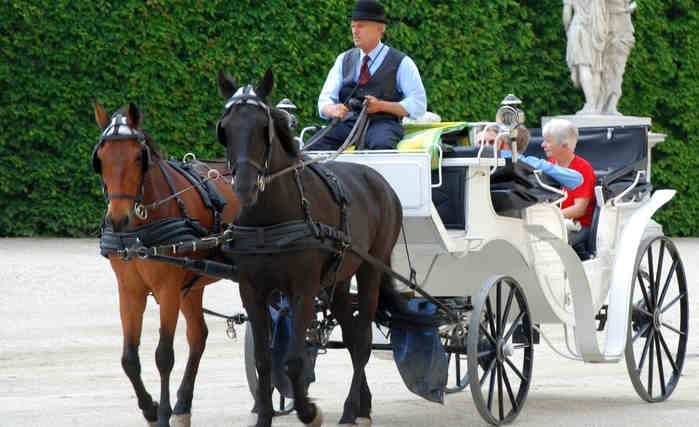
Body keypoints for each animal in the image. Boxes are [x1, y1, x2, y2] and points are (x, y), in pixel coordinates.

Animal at [93, 103, 241, 427]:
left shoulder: (168, 289)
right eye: (101, 159)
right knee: (198, 337)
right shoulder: (130, 289)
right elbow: (129, 358)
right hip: (192, 285)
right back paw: (183, 405)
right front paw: (150, 408)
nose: (118, 219)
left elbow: (164, 355)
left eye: (139, 157)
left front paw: (161, 414)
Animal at [217, 68, 404, 426]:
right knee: (352, 337)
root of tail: (376, 177)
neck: (269, 216)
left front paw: (308, 410)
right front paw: (264, 415)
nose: (244, 187)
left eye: (263, 127)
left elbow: (292, 360)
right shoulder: (252, 290)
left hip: (370, 269)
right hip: (339, 279)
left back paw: (350, 410)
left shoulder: (302, 288)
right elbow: (264, 359)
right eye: (225, 128)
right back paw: (362, 406)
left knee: (362, 343)